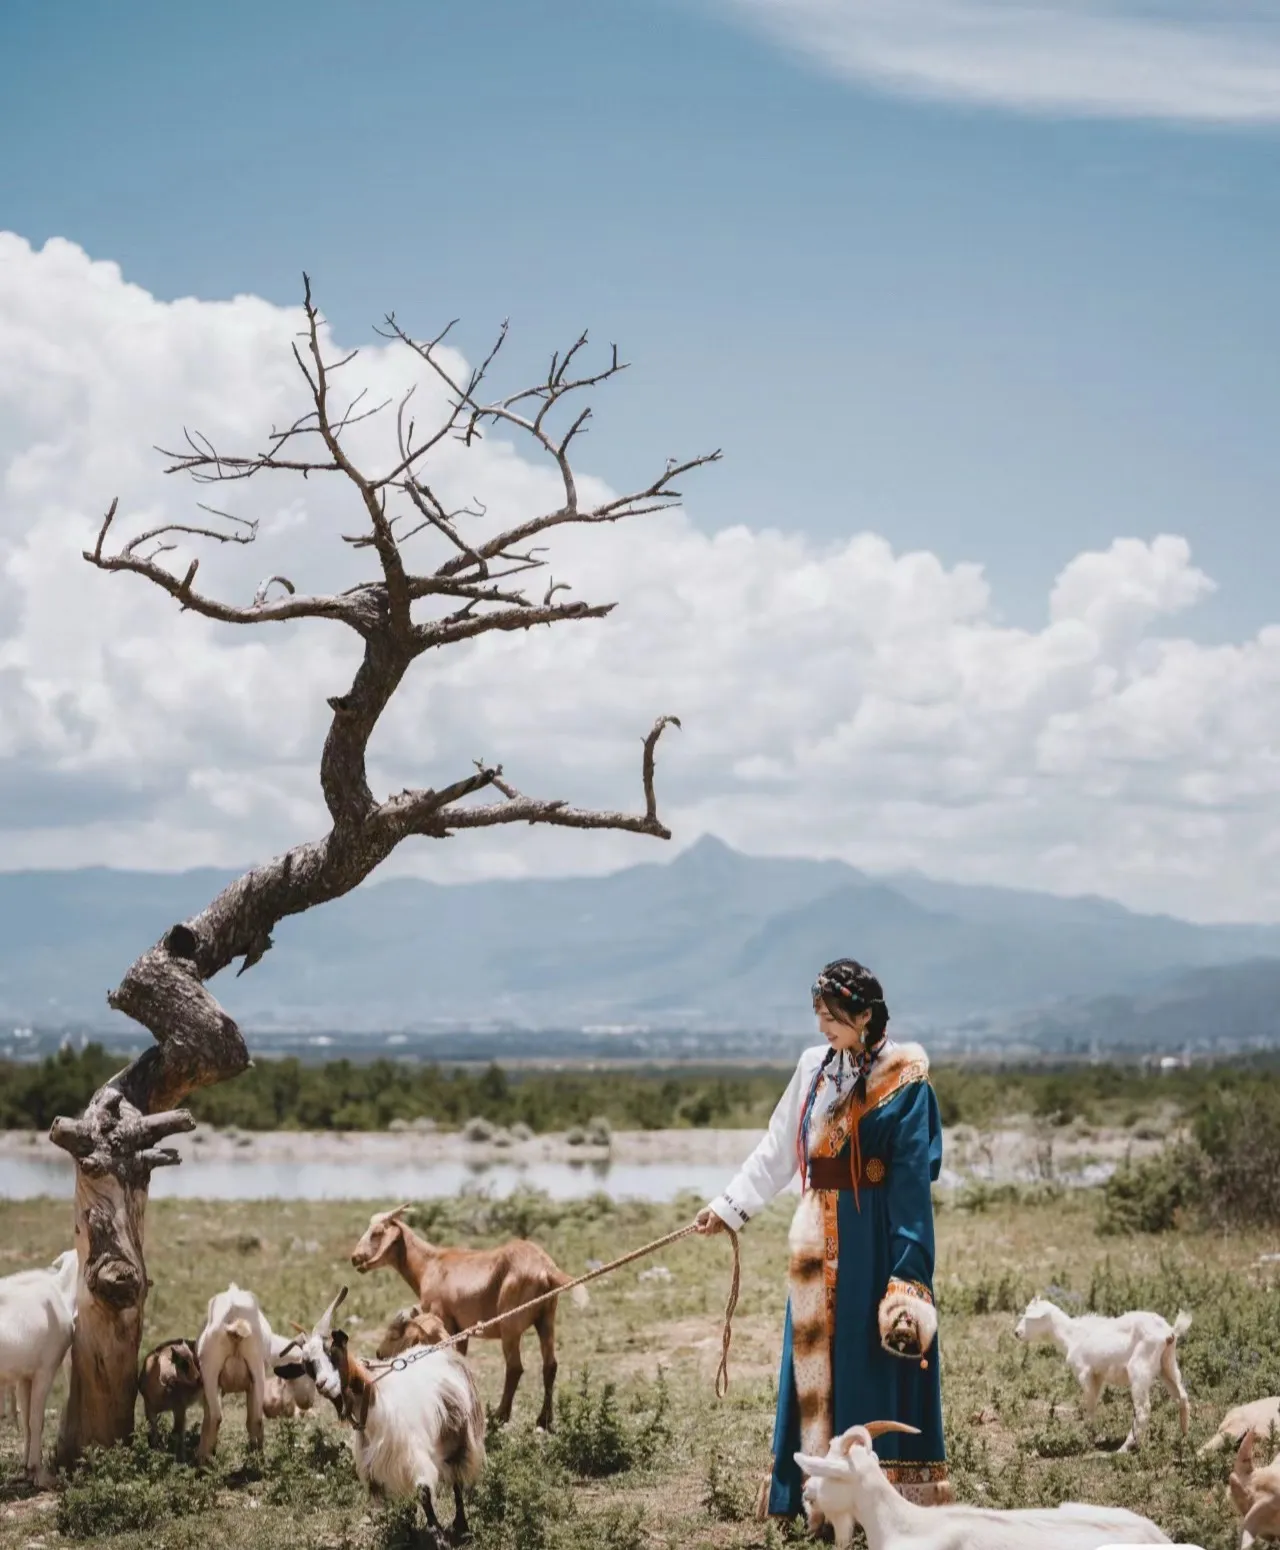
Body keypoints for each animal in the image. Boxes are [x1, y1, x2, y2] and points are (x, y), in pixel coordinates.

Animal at [0, 1246, 77, 1488]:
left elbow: (26, 1421)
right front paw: (40, 1473)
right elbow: (37, 1420)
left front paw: (26, 1468)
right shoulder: (46, 1369)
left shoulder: (25, 1375)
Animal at [351, 1196, 585, 1426]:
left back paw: (500, 1416)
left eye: (377, 1232)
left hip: (510, 1324)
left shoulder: (443, 1319)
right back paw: (544, 1420)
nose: (355, 1258)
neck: (429, 1264)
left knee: (515, 1367)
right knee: (550, 1365)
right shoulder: (461, 1330)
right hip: (546, 1317)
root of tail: (546, 1268)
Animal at [1010, 1295, 1190, 1450]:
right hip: (1167, 1365)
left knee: (1143, 1409)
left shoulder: (1085, 1373)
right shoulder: (1098, 1375)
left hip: (1140, 1368)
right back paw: (1183, 1437)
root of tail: (1169, 1332)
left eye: (1029, 1317)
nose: (1016, 1333)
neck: (1071, 1335)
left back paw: (1125, 1447)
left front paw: (1088, 1438)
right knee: (1182, 1397)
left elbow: (1089, 1406)